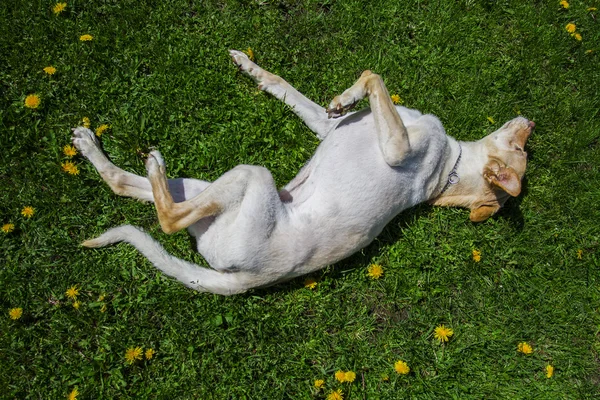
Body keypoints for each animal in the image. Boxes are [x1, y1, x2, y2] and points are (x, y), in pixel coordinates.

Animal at [71, 49, 536, 294]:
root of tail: (244, 279)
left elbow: (375, 76)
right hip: (209, 188)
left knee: (166, 217)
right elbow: (292, 87)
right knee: (124, 184)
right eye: (521, 146)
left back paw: (152, 162)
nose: (530, 121)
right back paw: (92, 147)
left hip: (252, 176)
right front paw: (253, 68)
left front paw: (349, 94)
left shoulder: (396, 148)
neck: (451, 166)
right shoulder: (328, 127)